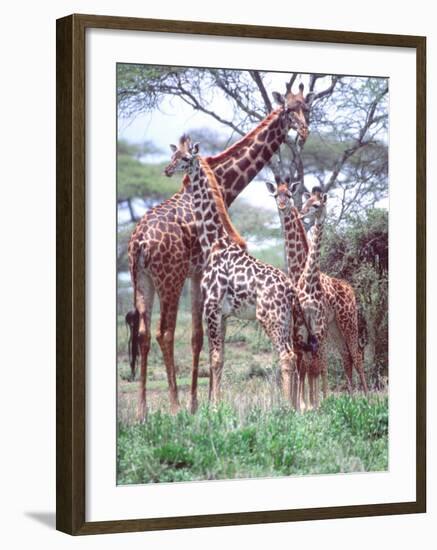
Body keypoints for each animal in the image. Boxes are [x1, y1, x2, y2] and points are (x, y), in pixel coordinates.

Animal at [164, 138, 300, 410]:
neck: (214, 242)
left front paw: (215, 406)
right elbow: (221, 358)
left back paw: (286, 407)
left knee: (286, 355)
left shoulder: (212, 306)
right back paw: (296, 405)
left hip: (269, 317)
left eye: (185, 158)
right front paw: (216, 403)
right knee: (294, 355)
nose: (167, 170)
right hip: (286, 319)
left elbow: (215, 358)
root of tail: (289, 289)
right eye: (173, 155)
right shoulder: (224, 313)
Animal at [296, 190, 368, 410]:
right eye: (306, 202)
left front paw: (319, 404)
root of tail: (349, 288)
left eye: (316, 205)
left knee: (356, 356)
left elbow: (319, 365)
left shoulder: (319, 325)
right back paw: (352, 399)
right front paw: (303, 406)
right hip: (336, 328)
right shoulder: (304, 325)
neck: (309, 281)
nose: (301, 214)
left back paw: (368, 400)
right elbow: (306, 365)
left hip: (349, 322)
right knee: (346, 357)